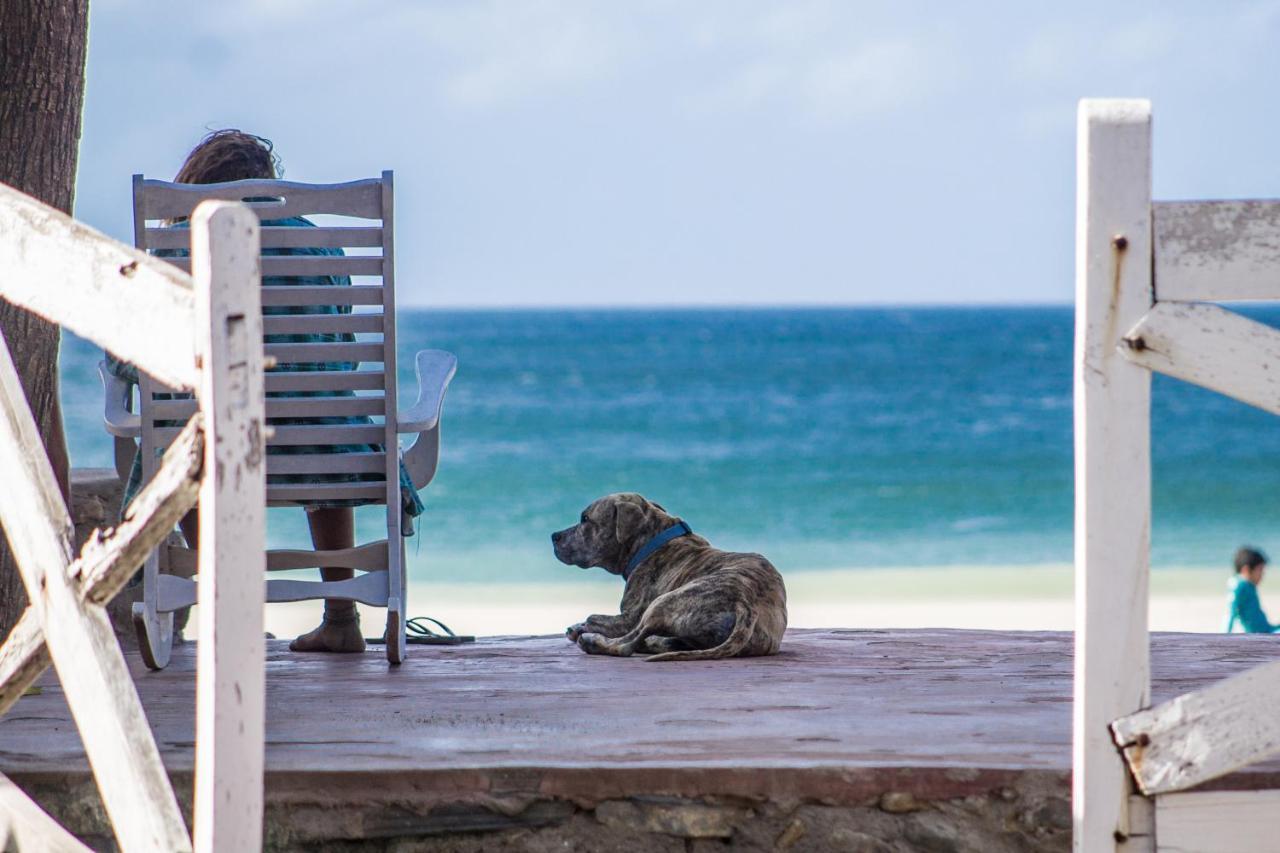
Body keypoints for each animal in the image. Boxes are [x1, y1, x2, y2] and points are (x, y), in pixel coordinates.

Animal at [552, 489, 783, 660]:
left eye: (585, 519)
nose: (554, 536)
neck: (652, 541)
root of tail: (745, 603)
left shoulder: (629, 618)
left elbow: (594, 617)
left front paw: (582, 627)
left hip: (663, 602)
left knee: (627, 644)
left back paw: (592, 641)